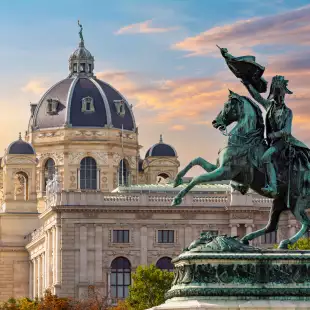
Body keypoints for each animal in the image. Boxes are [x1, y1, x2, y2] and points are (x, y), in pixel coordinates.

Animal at [171, 90, 310, 249]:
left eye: (226, 105)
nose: (215, 122)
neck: (244, 140)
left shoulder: (226, 171)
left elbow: (197, 178)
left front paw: (177, 198)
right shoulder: (219, 167)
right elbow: (196, 160)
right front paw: (177, 180)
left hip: (297, 202)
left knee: (305, 224)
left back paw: (285, 242)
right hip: (279, 202)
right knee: (271, 226)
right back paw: (247, 238)